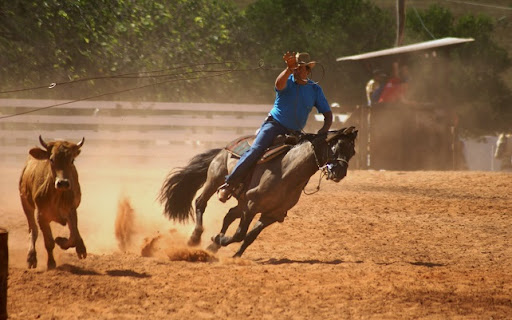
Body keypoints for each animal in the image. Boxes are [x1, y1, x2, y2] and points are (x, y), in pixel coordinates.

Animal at [19, 136, 87, 270]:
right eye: (51, 159)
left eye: (72, 160)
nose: (63, 183)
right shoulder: (41, 216)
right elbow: (49, 242)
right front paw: (51, 263)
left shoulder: (71, 210)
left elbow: (73, 236)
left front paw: (61, 241)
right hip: (26, 204)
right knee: (32, 230)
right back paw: (31, 257)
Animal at [159, 126, 356, 256]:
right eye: (335, 147)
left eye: (352, 151)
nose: (340, 172)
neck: (286, 172)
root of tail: (225, 148)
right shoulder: (251, 207)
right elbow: (240, 234)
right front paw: (219, 239)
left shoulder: (273, 214)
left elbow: (249, 237)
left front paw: (233, 254)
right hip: (215, 179)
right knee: (200, 202)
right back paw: (195, 238)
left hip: (241, 200)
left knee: (229, 214)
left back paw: (212, 247)